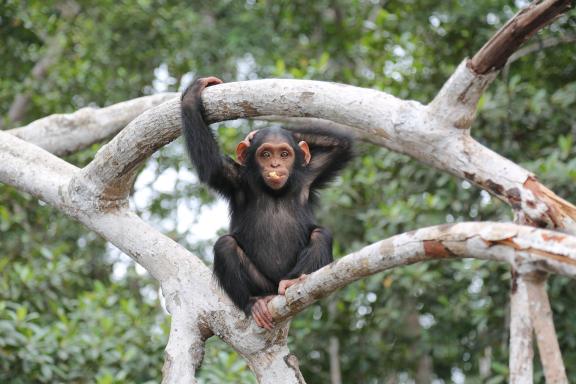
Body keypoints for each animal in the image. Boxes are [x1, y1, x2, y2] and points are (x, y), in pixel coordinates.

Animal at [180, 76, 354, 328]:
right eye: (265, 154)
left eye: (284, 154)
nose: (274, 165)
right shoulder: (234, 178)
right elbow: (211, 165)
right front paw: (193, 94)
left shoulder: (312, 173)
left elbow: (342, 143)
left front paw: (257, 134)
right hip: (261, 284)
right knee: (225, 245)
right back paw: (254, 302)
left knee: (321, 235)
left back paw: (291, 282)